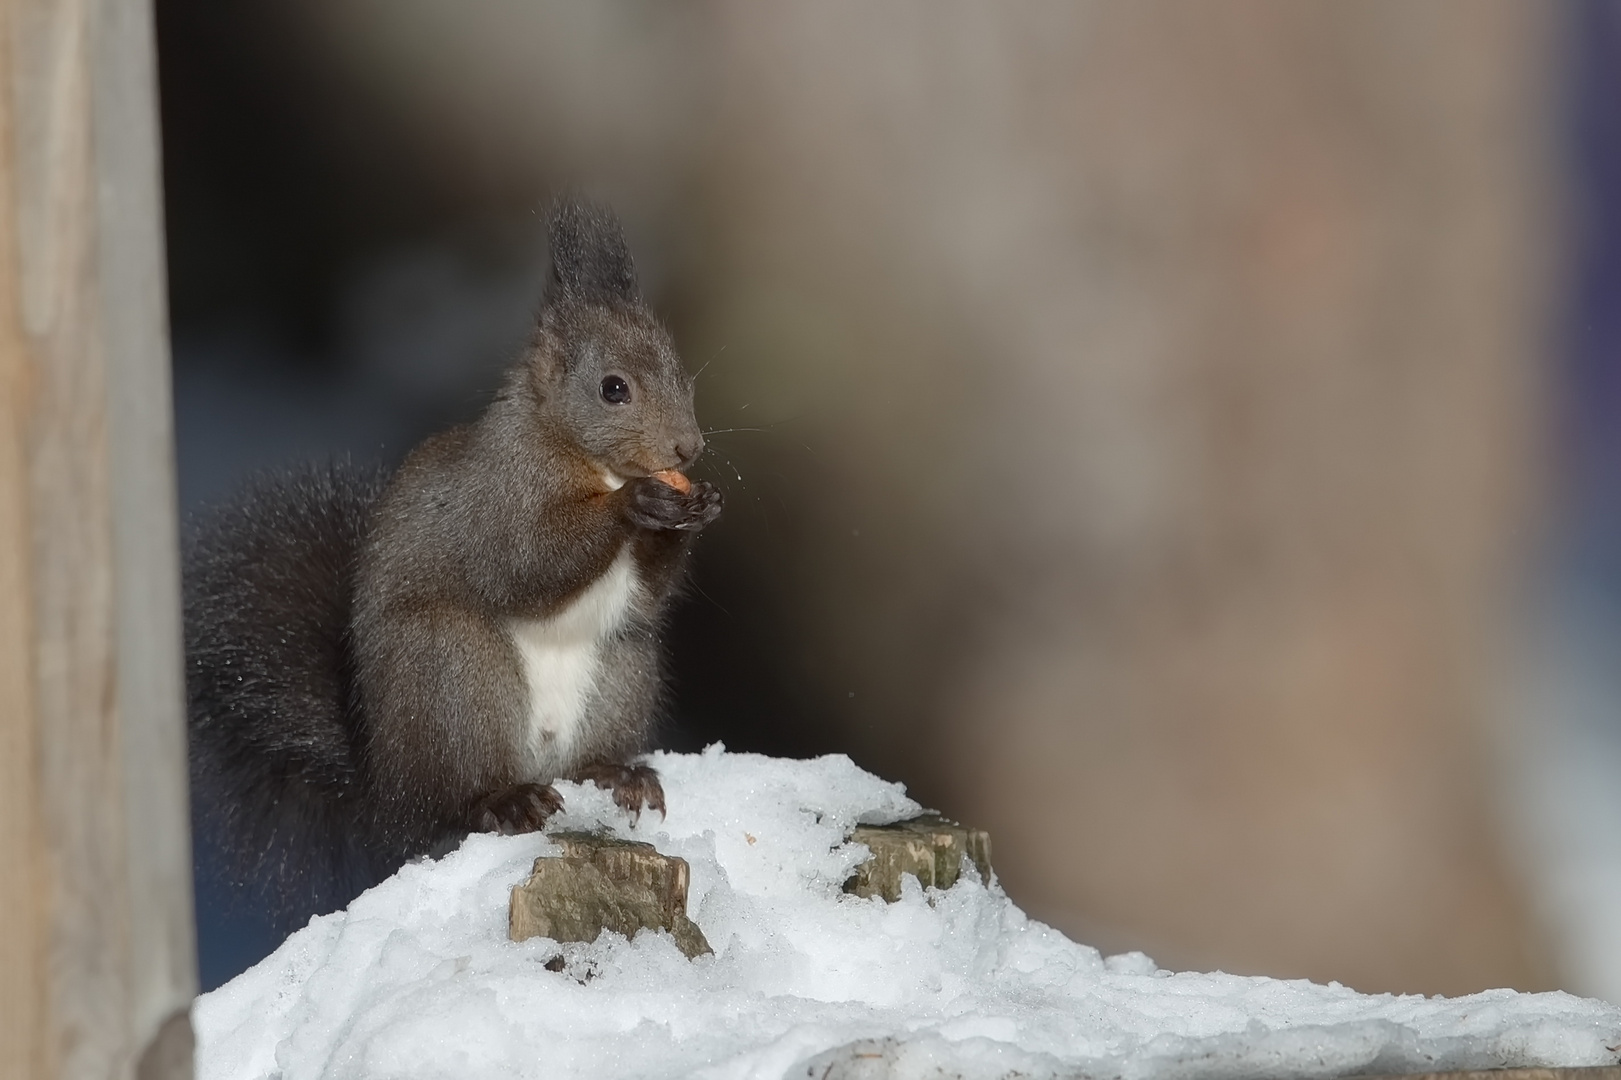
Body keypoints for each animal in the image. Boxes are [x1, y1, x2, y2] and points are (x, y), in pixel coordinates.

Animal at [180, 197, 719, 921]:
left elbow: (646, 594)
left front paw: (696, 507)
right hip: (452, 671)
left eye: (678, 370)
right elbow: (524, 566)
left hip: (624, 669)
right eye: (613, 389)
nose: (687, 450)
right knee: (454, 801)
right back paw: (502, 800)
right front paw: (637, 503)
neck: (582, 458)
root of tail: (386, 792)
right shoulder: (496, 501)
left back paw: (616, 774)